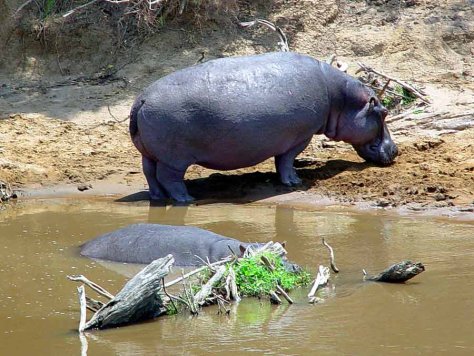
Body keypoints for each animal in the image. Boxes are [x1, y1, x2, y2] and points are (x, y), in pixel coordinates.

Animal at [129, 51, 396, 202]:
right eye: (383, 112)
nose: (396, 150)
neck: (340, 99)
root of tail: (141, 99)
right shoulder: (301, 136)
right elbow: (286, 161)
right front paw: (294, 182)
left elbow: (281, 161)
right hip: (174, 159)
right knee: (169, 178)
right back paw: (186, 199)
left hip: (150, 153)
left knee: (150, 174)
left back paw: (157, 197)